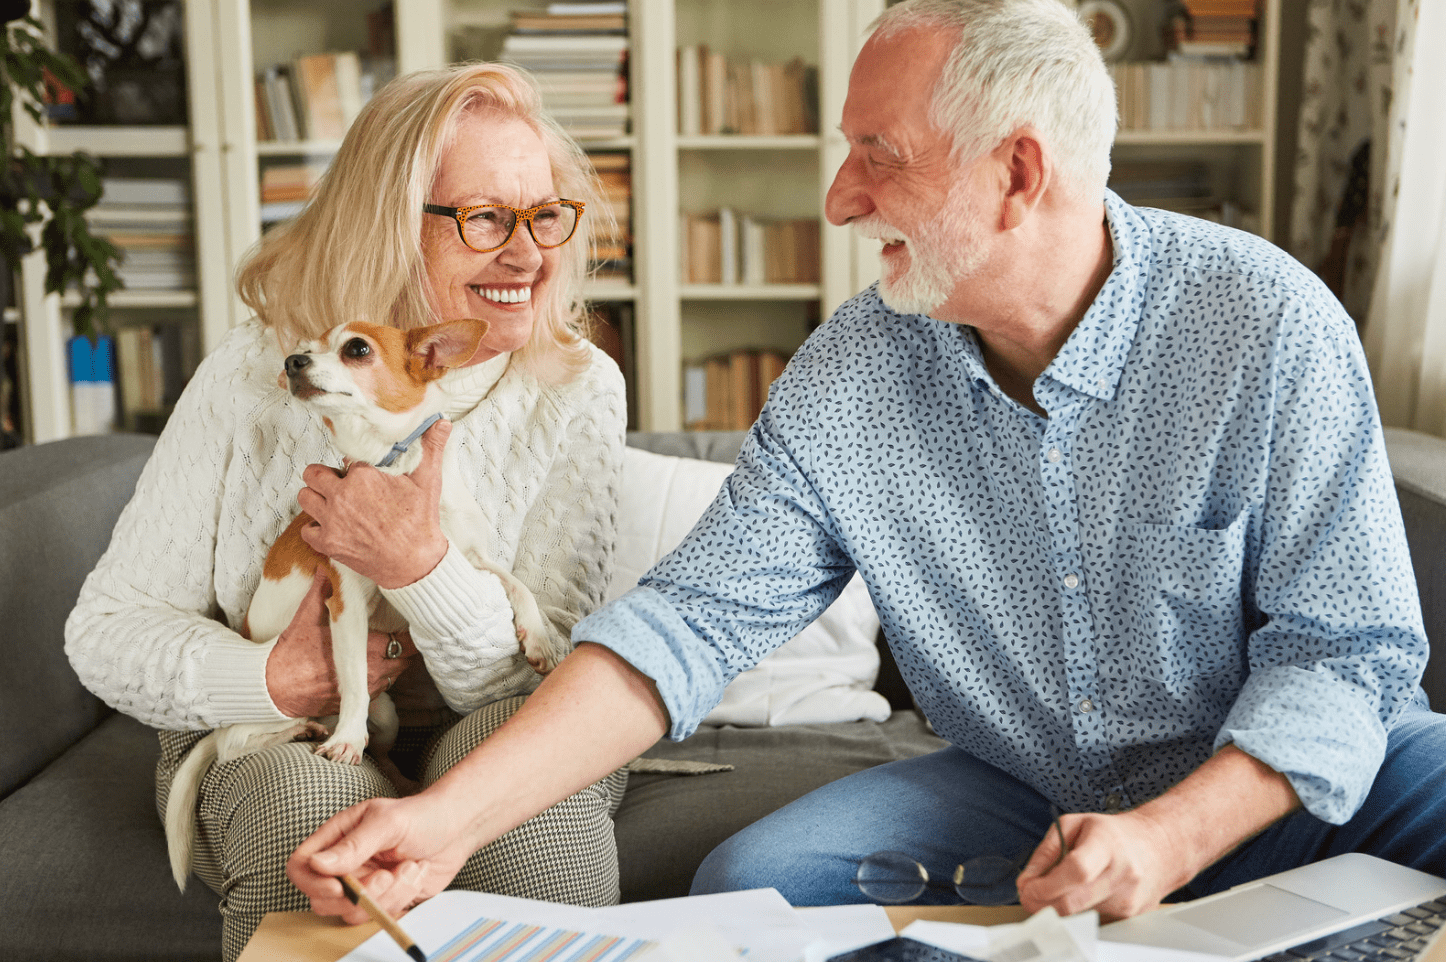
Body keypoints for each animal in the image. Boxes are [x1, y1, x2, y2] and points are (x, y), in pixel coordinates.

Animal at [161, 318, 561, 891]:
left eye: (356, 349)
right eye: (303, 347)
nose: (292, 362)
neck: (390, 466)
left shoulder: (466, 561)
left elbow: (517, 585)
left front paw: (539, 637)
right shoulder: (345, 601)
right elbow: (350, 678)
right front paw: (347, 739)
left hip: (388, 714)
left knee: (382, 748)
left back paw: (394, 773)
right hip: (264, 718)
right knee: (239, 742)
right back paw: (307, 729)